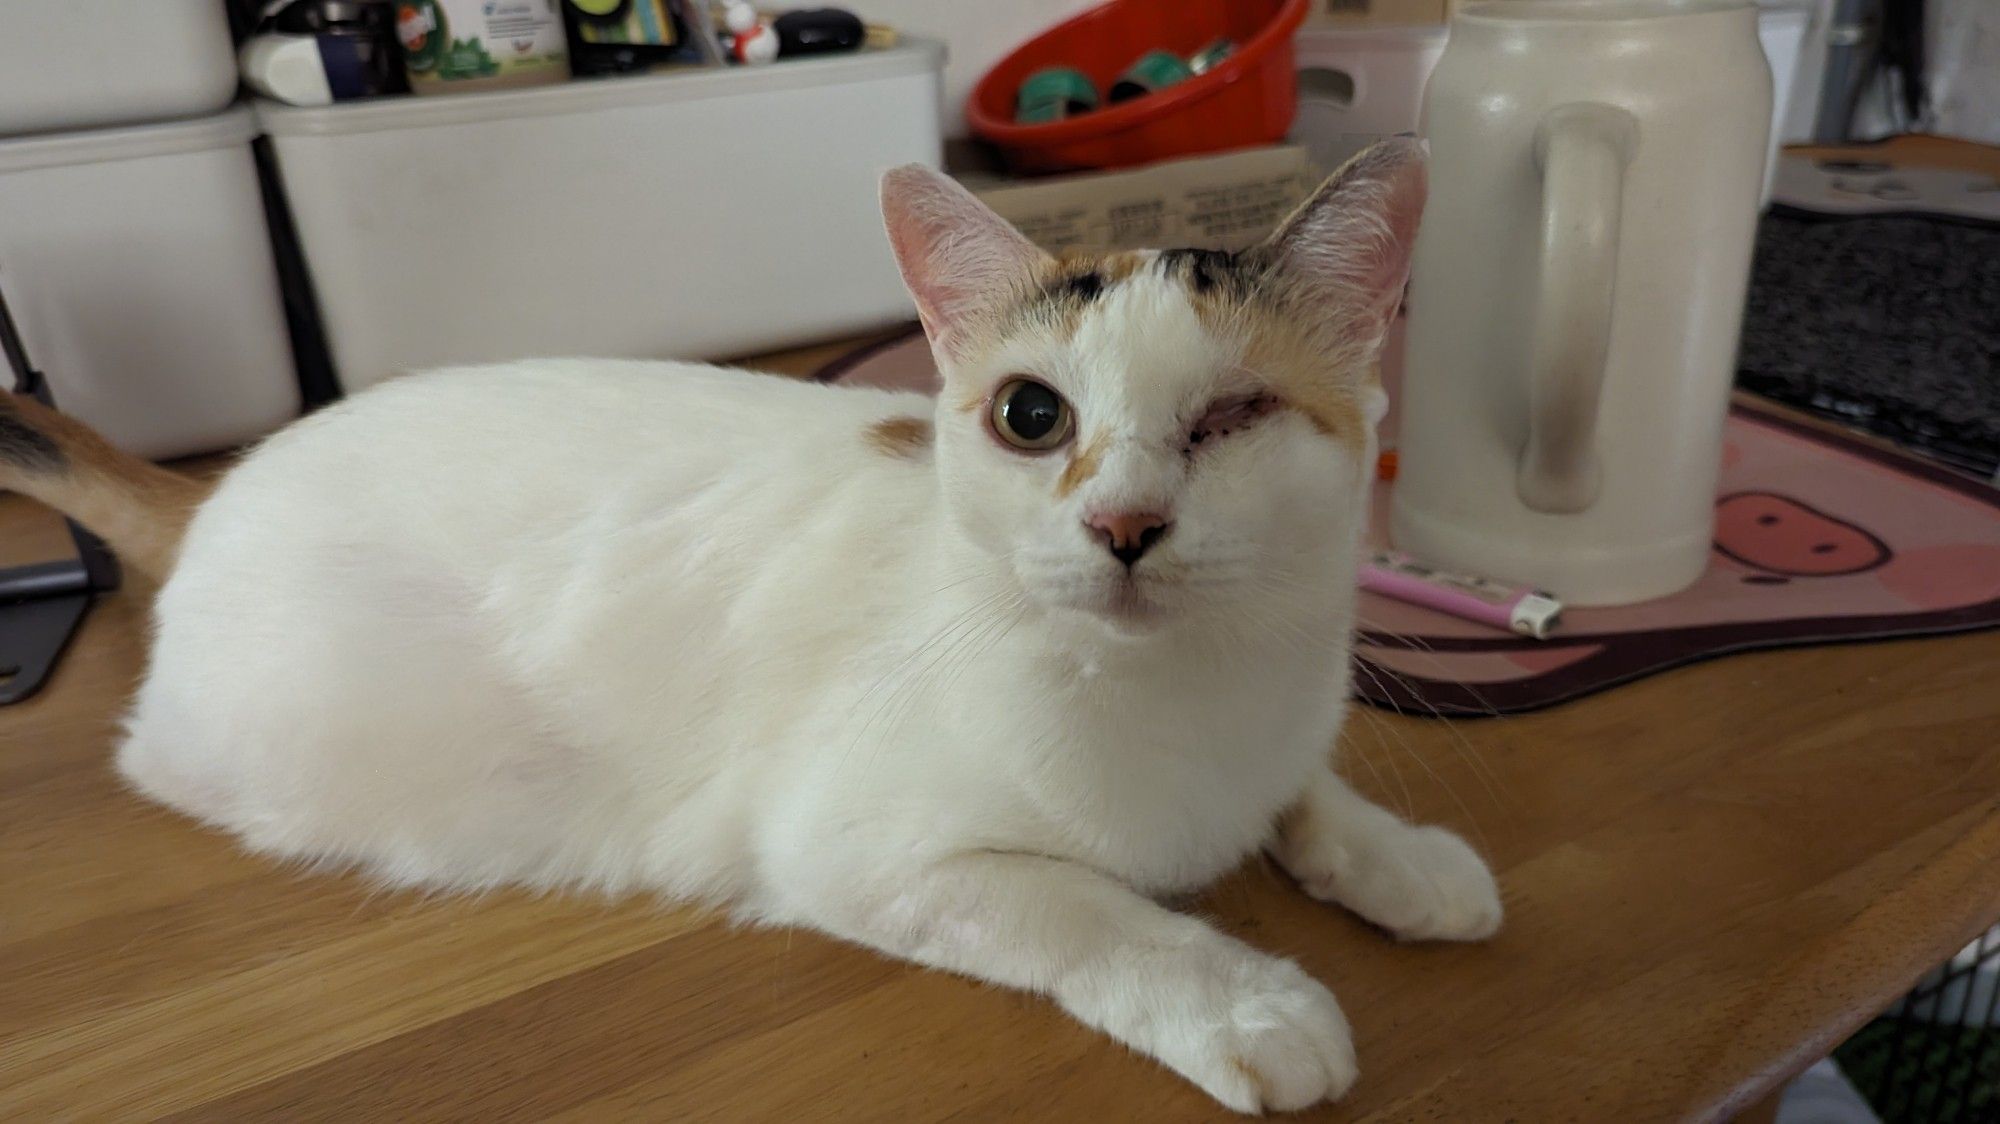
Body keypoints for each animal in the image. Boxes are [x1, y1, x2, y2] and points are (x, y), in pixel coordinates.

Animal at [3, 142, 1504, 1112]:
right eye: (1033, 417)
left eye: (1235, 415)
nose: (1124, 524)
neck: (1188, 697)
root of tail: (217, 484)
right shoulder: (861, 851)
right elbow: (1092, 912)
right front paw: (1246, 999)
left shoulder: (1279, 722)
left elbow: (1305, 786)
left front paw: (1403, 855)